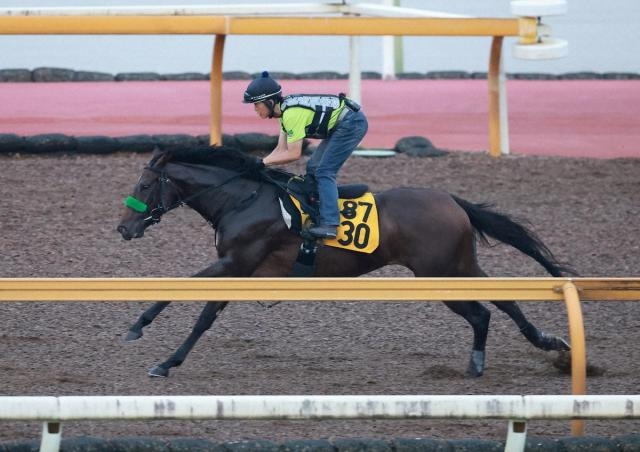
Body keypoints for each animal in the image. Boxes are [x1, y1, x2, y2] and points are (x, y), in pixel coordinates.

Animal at [117, 145, 572, 378]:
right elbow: (204, 310)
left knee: (481, 312)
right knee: (499, 304)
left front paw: (153, 346)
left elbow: (195, 305)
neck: (244, 198)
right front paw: (156, 345)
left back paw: (485, 360)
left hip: (439, 271)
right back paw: (545, 344)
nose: (124, 228)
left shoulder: (235, 264)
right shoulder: (241, 270)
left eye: (144, 184)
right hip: (458, 266)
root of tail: (452, 200)